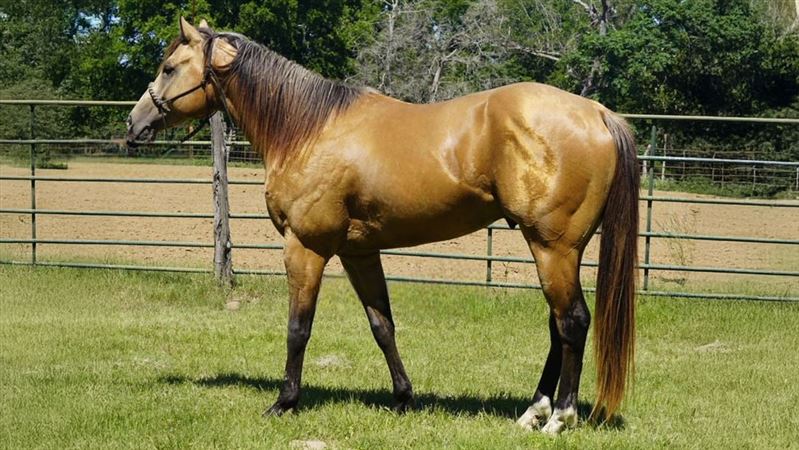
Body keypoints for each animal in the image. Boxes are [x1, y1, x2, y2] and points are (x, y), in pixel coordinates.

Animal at [126, 18, 639, 434]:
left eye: (169, 67)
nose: (134, 124)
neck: (308, 129)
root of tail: (597, 113)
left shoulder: (306, 247)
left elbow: (298, 327)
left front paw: (285, 402)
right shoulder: (358, 251)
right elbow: (382, 326)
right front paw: (403, 398)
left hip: (553, 247)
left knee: (572, 321)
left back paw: (559, 418)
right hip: (557, 249)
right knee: (557, 325)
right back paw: (533, 412)